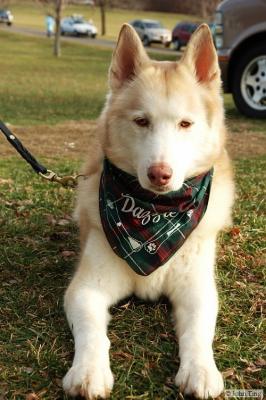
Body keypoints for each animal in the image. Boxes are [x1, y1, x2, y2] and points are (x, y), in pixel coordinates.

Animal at [63, 23, 234, 398]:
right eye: (141, 121)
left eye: (185, 124)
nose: (160, 174)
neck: (155, 214)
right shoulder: (86, 289)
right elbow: (92, 334)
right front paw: (89, 370)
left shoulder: (198, 290)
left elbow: (198, 333)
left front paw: (201, 370)